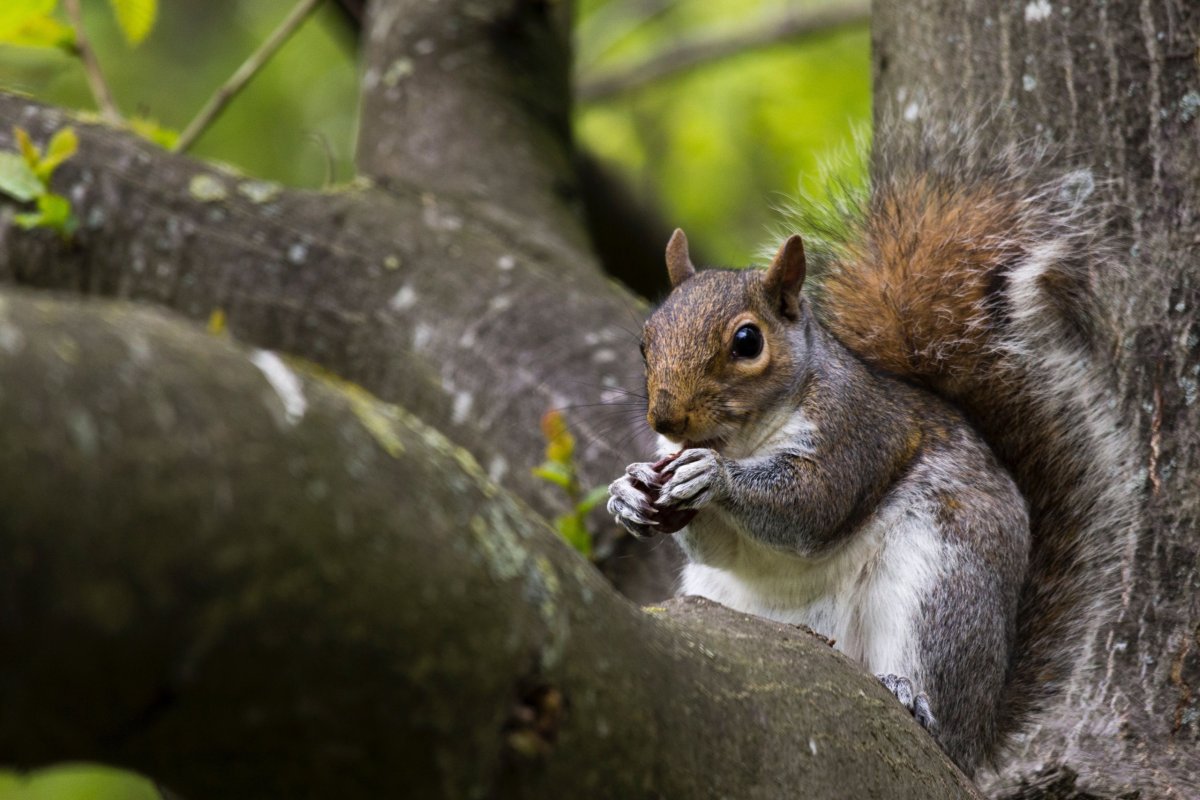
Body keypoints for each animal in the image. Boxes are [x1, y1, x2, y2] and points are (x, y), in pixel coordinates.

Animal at [604, 126, 1137, 777]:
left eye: (747, 341)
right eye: (645, 341)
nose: (666, 418)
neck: (745, 436)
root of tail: (979, 742)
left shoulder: (855, 432)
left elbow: (814, 505)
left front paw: (715, 477)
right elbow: (717, 546)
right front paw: (628, 493)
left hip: (943, 583)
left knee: (938, 697)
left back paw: (913, 700)